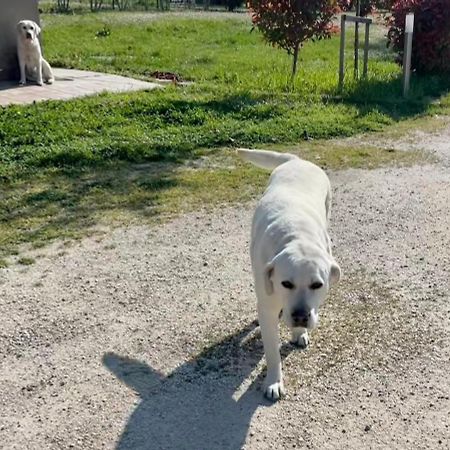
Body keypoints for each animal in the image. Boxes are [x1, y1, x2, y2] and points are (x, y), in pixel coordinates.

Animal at [237, 149, 340, 400]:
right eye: (285, 283)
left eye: (317, 285)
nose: (301, 317)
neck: (296, 235)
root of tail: (297, 160)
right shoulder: (268, 306)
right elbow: (272, 351)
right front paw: (274, 382)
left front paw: (299, 332)